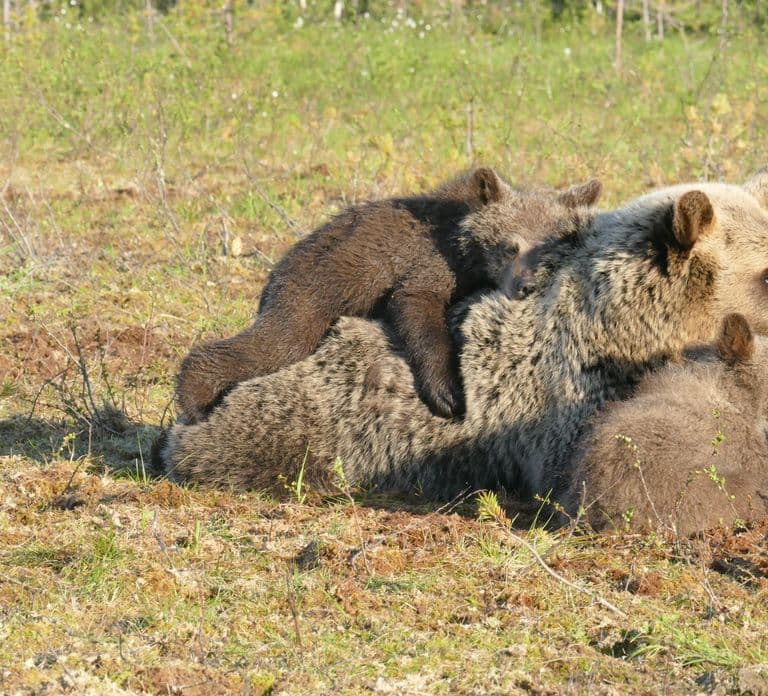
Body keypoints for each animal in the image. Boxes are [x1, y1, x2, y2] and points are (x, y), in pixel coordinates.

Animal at [175, 168, 602, 423]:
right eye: (509, 247)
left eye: (548, 249)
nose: (524, 285)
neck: (465, 250)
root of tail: (275, 271)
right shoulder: (426, 263)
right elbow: (417, 309)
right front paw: (448, 394)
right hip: (310, 290)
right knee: (276, 342)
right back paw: (194, 401)